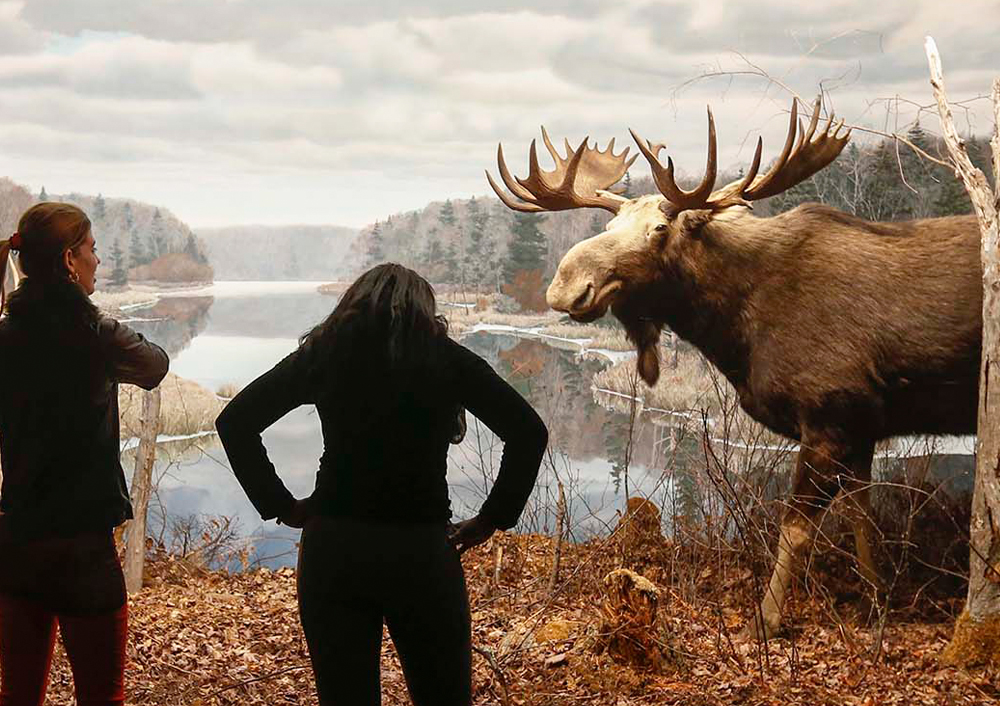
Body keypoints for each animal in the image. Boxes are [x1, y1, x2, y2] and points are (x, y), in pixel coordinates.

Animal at [488, 97, 980, 640]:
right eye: (609, 228)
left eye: (660, 229)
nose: (566, 285)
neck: (738, 334)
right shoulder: (862, 426)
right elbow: (862, 518)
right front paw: (877, 602)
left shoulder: (829, 415)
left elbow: (795, 529)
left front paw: (765, 621)